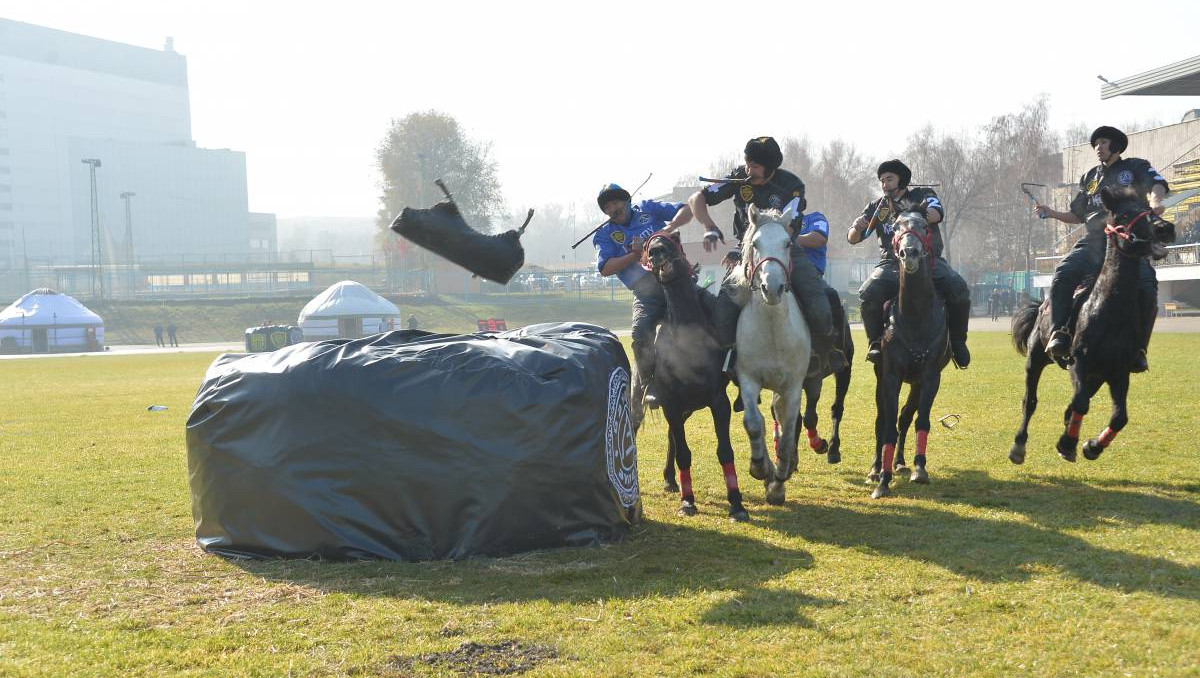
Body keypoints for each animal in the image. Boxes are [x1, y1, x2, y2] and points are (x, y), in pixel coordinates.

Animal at [638, 230, 748, 520]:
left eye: (673, 238)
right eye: (648, 247)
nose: (657, 252)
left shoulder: (718, 402)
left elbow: (725, 451)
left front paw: (736, 504)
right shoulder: (672, 405)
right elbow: (683, 454)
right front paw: (688, 501)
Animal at [724, 204, 811, 504]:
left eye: (788, 243)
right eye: (755, 244)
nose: (771, 289)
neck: (773, 331)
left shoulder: (793, 385)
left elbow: (787, 434)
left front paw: (779, 481)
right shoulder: (748, 380)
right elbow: (753, 423)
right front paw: (761, 468)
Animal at [868, 208, 950, 499]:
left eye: (925, 226)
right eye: (895, 227)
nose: (909, 253)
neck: (915, 316)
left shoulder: (930, 378)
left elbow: (920, 420)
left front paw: (919, 468)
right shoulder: (890, 377)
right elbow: (887, 426)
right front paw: (883, 480)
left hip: (915, 383)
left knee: (905, 416)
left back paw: (901, 461)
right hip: (881, 376)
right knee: (883, 420)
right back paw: (876, 467)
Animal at [1008, 187, 1176, 468]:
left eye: (1149, 209)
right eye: (1125, 214)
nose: (1165, 228)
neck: (1109, 310)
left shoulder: (1117, 372)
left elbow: (1118, 417)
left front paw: (1090, 446)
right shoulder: (1080, 363)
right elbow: (1080, 404)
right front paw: (1068, 443)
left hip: (1096, 377)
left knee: (1073, 405)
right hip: (1036, 357)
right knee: (1030, 401)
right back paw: (1019, 446)